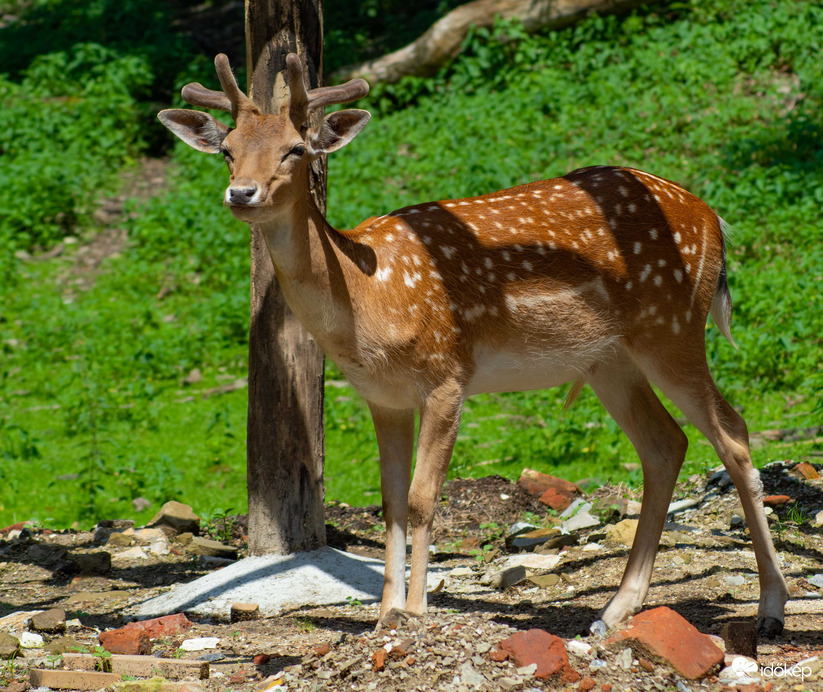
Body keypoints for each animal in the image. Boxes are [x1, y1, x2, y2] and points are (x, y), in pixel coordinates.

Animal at [156, 54, 792, 636]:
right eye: (226, 149)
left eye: (295, 149)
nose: (241, 192)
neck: (370, 300)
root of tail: (715, 220)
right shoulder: (381, 397)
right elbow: (390, 502)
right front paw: (385, 615)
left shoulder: (448, 374)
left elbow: (421, 498)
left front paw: (415, 611)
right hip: (610, 359)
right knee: (665, 445)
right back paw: (613, 612)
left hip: (672, 326)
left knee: (733, 431)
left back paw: (771, 608)